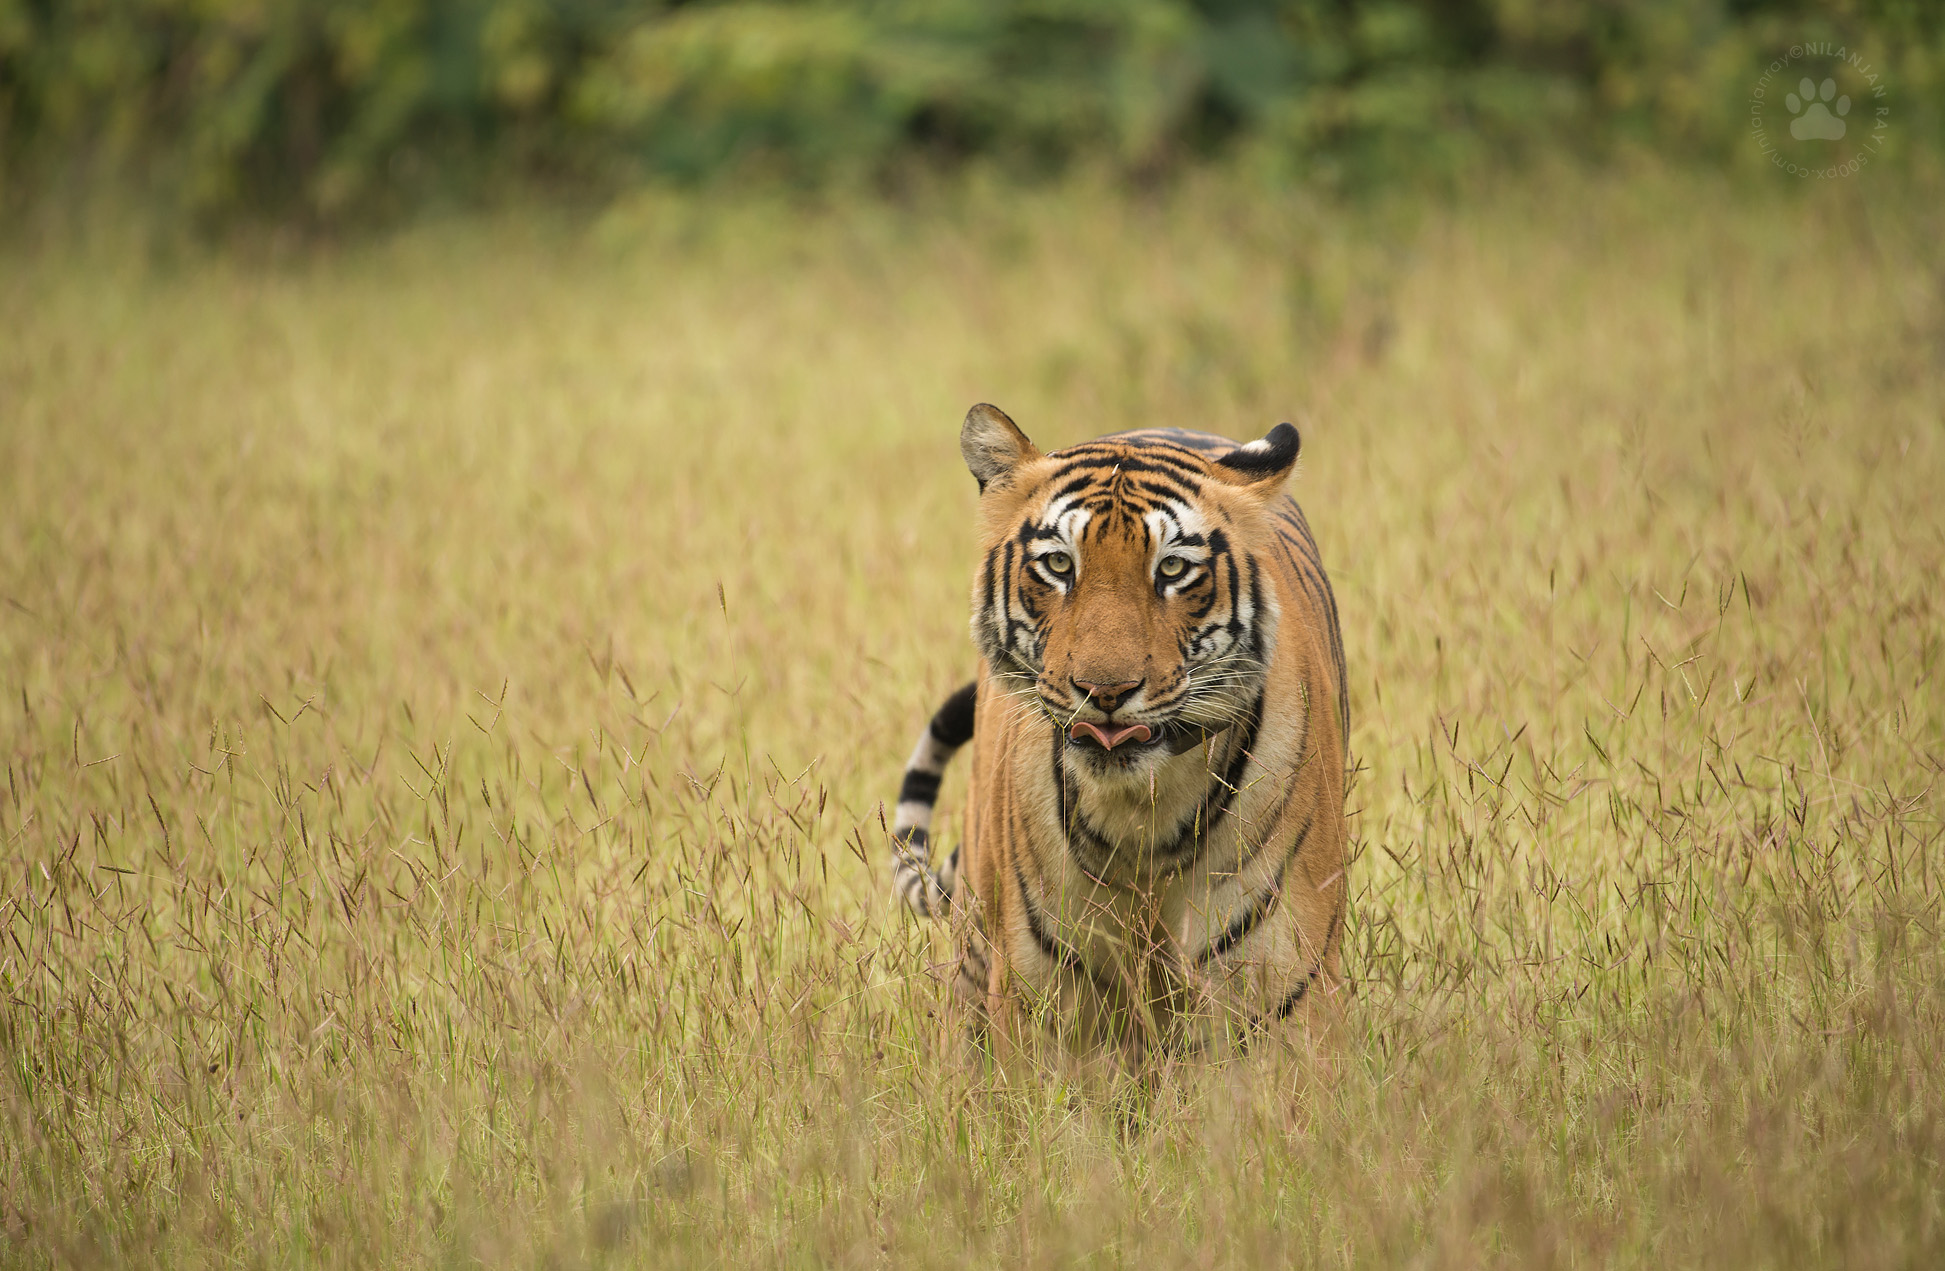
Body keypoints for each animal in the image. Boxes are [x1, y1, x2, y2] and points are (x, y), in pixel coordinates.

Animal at [890, 403, 1350, 1062]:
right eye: (1059, 564)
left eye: (1173, 568)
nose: (1104, 692)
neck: (1144, 817)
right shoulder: (1044, 1000)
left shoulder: (1281, 988)